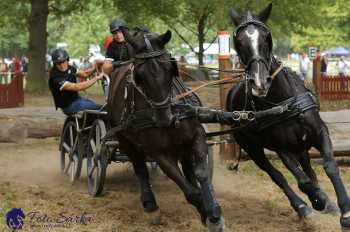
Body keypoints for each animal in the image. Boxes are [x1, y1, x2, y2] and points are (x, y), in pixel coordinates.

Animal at [106, 28, 226, 230]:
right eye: (139, 76)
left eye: (171, 68)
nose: (164, 119)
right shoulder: (159, 153)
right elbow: (189, 191)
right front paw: (206, 211)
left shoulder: (196, 136)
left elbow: (201, 173)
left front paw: (213, 214)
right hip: (126, 141)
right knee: (141, 170)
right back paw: (151, 206)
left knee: (188, 169)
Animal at [227, 3, 350, 228]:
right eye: (238, 42)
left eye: (266, 36)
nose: (260, 82)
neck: (284, 102)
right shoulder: (282, 149)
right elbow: (301, 181)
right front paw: (317, 199)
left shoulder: (320, 133)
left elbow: (329, 166)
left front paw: (344, 210)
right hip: (253, 148)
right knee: (277, 175)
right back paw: (303, 206)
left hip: (300, 146)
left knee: (308, 169)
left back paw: (326, 204)